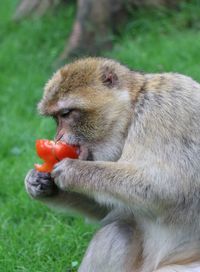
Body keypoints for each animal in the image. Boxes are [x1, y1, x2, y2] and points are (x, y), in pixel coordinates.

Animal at [24, 57, 200, 272]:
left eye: (66, 114)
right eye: (56, 118)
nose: (57, 138)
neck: (132, 114)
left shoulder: (165, 110)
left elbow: (170, 186)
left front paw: (74, 170)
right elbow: (114, 210)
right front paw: (39, 183)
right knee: (117, 232)